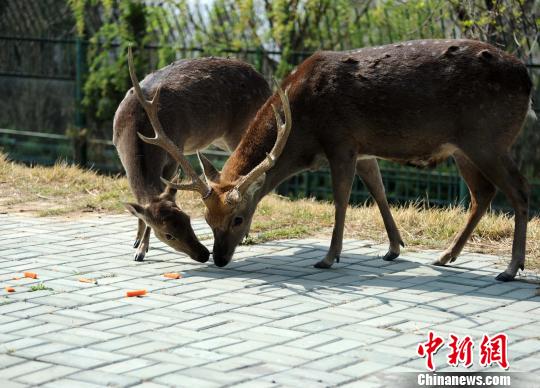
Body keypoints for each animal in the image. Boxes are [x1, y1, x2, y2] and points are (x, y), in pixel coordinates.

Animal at [114, 47, 274, 260]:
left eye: (188, 219)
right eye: (168, 234)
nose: (204, 254)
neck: (135, 126)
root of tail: (266, 83)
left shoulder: (174, 152)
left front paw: (141, 250)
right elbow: (140, 207)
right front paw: (137, 242)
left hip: (243, 129)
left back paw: (245, 233)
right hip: (220, 139)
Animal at [144, 39, 536, 282]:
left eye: (239, 218)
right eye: (207, 220)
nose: (219, 258)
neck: (302, 128)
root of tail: (528, 78)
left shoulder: (341, 141)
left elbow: (342, 199)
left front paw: (330, 257)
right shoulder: (363, 148)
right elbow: (377, 190)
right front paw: (394, 248)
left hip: (488, 137)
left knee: (519, 190)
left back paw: (510, 268)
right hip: (463, 147)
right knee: (483, 194)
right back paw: (446, 256)